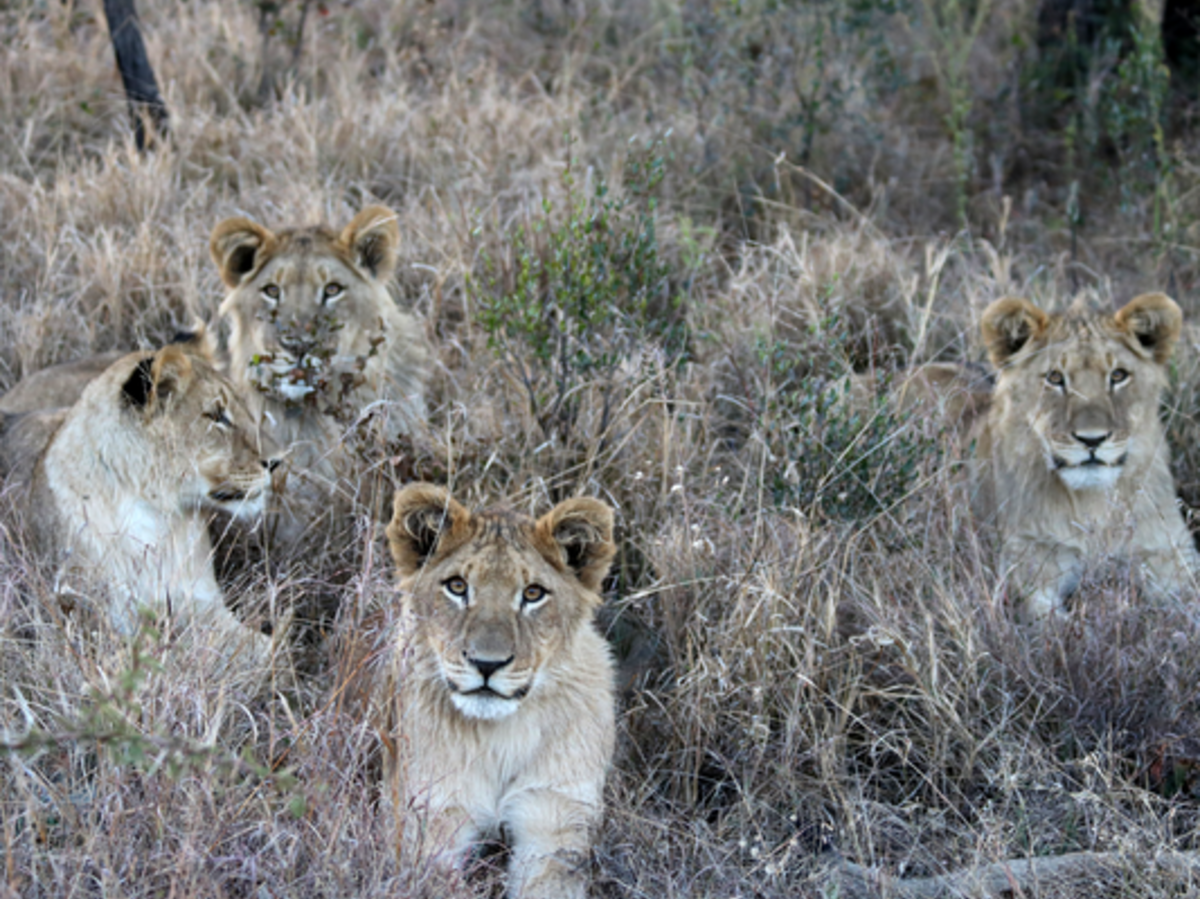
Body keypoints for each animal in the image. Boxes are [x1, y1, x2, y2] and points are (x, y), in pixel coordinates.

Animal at [0, 341, 284, 650]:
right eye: (216, 415)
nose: (278, 461)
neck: (156, 517)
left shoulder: (203, 606)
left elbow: (264, 649)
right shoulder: (97, 623)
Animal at [370, 483, 617, 899]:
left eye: (533, 593)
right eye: (457, 587)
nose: (487, 664)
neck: (500, 735)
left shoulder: (554, 817)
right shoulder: (431, 812)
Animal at [976, 292, 1199, 620]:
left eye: (1118, 375)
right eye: (1055, 378)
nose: (1092, 439)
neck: (1093, 506)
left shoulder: (1168, 552)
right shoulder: (1029, 560)